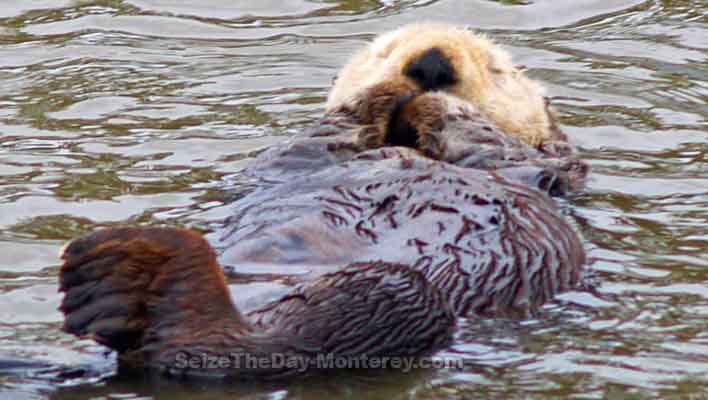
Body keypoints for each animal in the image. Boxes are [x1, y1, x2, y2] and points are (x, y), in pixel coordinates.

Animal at [56, 23, 588, 380]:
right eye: (382, 52)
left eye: (496, 70)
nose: (432, 61)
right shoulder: (295, 156)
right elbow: (321, 138)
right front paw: (381, 93)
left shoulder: (541, 163)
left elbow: (495, 144)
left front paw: (442, 105)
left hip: (395, 295)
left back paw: (140, 274)